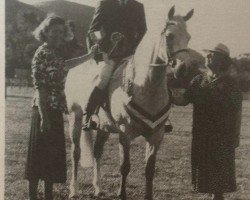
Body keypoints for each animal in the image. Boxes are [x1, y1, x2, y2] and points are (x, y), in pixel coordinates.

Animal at [65, 5, 205, 199]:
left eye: (189, 37)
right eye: (169, 35)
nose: (183, 69)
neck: (148, 87)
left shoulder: (156, 135)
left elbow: (149, 169)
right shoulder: (125, 133)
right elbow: (125, 167)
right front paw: (121, 194)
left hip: (104, 127)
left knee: (97, 152)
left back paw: (98, 187)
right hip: (75, 117)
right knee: (75, 153)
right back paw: (74, 189)